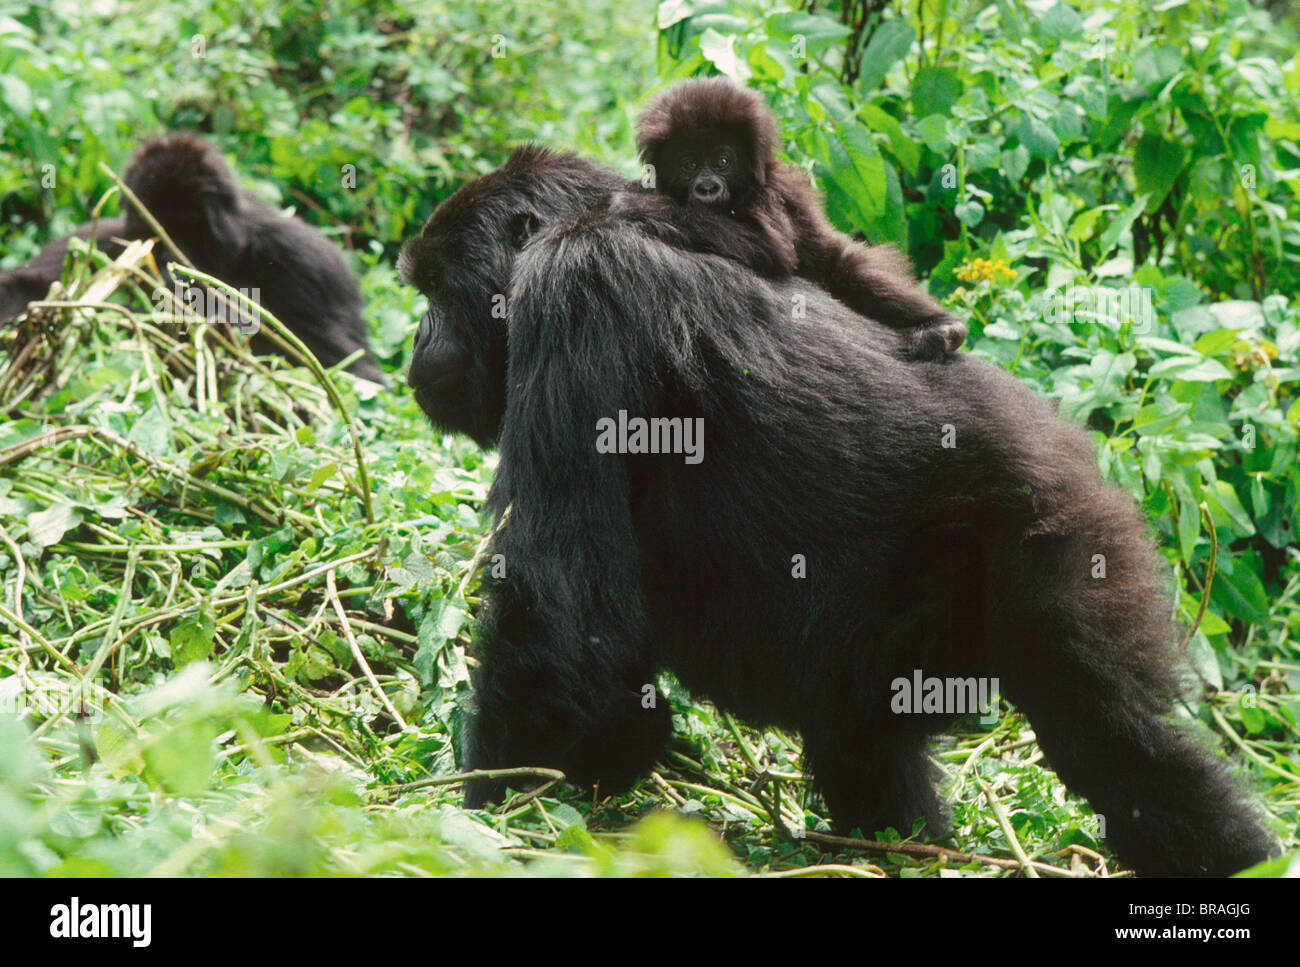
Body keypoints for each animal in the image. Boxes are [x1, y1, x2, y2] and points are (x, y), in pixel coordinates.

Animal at [0, 131, 384, 384]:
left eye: (189, 230)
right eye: (154, 234)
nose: (170, 266)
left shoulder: (301, 260)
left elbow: (347, 369)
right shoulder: (99, 240)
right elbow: (26, 288)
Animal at [400, 145, 1274, 878]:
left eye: (434, 290)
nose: (413, 341)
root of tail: (1082, 448)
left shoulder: (572, 292)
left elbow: (563, 610)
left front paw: (484, 809)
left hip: (1062, 538)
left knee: (1117, 743)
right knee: (879, 744)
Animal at [634, 77, 961, 361]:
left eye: (722, 161)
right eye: (689, 164)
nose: (707, 188)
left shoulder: (771, 192)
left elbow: (768, 245)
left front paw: (638, 205)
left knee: (853, 271)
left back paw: (942, 327)